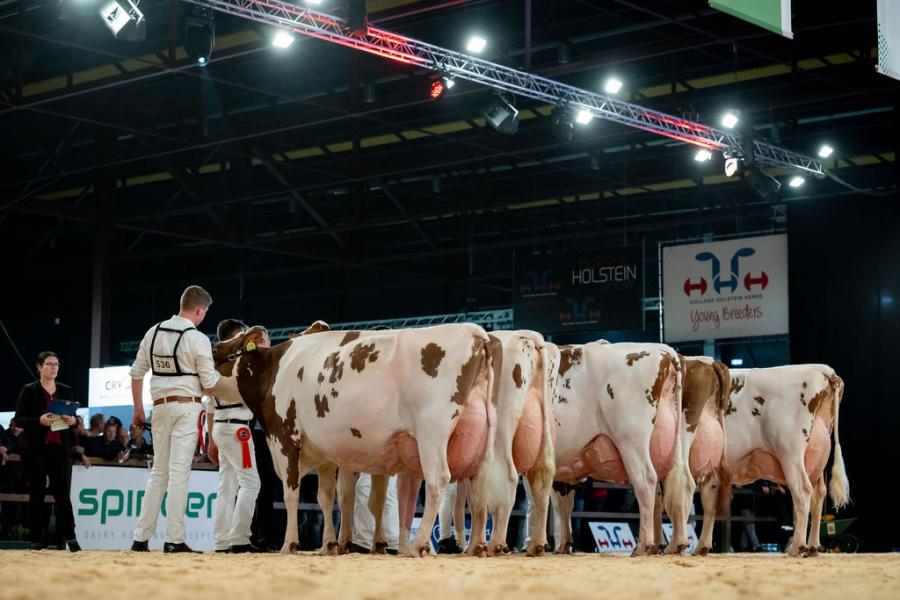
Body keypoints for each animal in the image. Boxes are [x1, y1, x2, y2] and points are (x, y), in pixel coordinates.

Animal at [207, 324, 496, 556]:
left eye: (214, 350)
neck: (276, 369)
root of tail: (475, 332)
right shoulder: (325, 450)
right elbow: (327, 497)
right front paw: (330, 544)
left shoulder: (285, 437)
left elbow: (292, 494)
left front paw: (289, 544)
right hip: (481, 441)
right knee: (479, 490)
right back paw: (476, 546)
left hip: (431, 434)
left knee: (438, 481)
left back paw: (419, 544)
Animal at [398, 330, 560, 556]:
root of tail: (527, 336)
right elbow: (468, 497)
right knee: (542, 484)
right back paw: (535, 545)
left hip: (502, 432)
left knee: (508, 480)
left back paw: (493, 544)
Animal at [548, 340, 688, 556]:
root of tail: (665, 350)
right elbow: (563, 504)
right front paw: (563, 545)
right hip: (671, 445)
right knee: (673, 485)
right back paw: (674, 545)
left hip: (630, 440)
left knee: (646, 481)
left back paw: (642, 546)